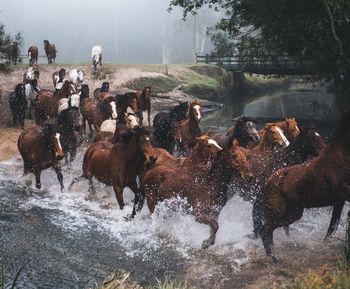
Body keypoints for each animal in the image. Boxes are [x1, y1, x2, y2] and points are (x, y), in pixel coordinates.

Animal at [258, 109, 350, 258]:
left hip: (293, 212)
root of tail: (268, 182)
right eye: (311, 138)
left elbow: (332, 225)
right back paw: (272, 257)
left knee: (269, 230)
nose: (321, 150)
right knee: (265, 230)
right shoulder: (343, 192)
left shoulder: (339, 201)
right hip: (282, 213)